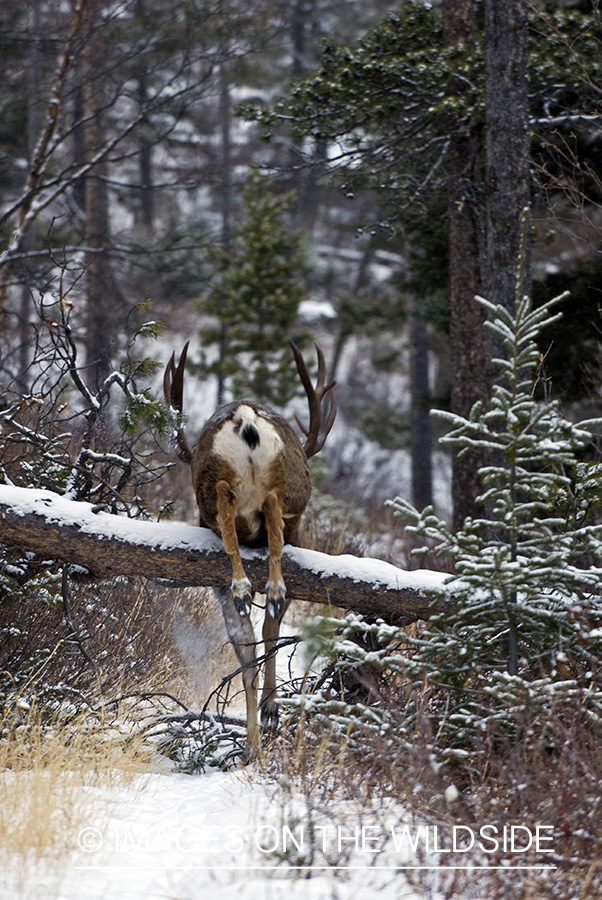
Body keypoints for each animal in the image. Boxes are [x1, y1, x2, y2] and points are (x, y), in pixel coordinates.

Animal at [164, 341, 336, 757]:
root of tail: (243, 416)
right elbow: (261, 641)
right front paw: (263, 725)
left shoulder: (217, 588)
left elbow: (251, 650)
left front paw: (260, 731)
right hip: (291, 485)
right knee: (268, 505)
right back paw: (262, 588)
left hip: (218, 486)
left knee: (234, 507)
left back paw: (250, 586)